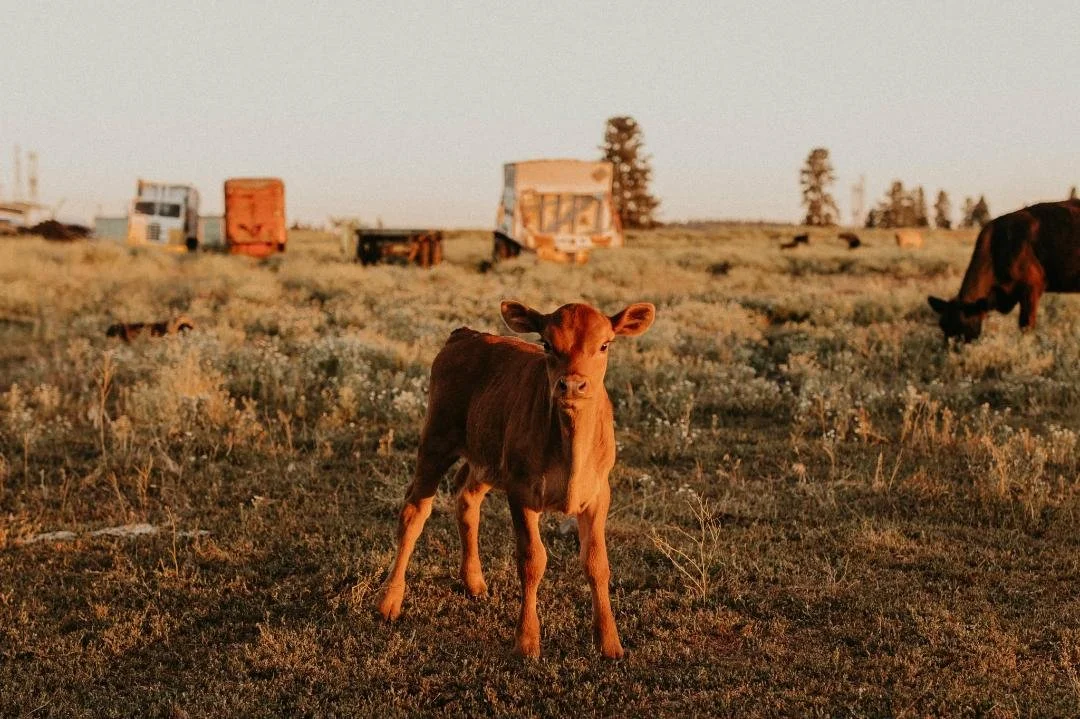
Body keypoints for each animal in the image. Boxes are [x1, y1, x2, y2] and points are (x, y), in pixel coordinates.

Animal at [376, 300, 656, 659]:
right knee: (414, 512)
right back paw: (389, 600)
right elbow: (532, 560)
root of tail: (466, 334)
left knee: (466, 498)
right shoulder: (521, 491)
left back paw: (473, 582)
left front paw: (609, 642)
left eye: (605, 345)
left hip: (488, 459)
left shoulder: (598, 494)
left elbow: (597, 562)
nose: (572, 385)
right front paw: (527, 640)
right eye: (547, 344)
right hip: (436, 439)